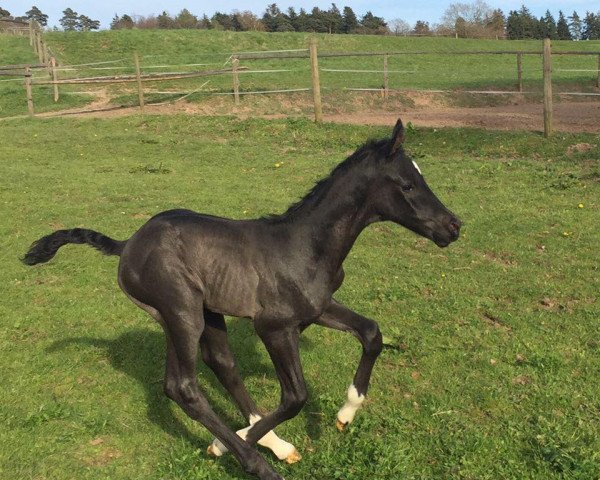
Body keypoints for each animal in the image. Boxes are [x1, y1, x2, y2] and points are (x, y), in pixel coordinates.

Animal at [23, 119, 460, 480]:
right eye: (408, 185)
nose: (453, 226)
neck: (305, 246)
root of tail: (128, 243)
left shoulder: (316, 310)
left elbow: (371, 333)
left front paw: (346, 414)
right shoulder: (274, 327)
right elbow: (296, 396)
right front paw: (224, 445)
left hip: (196, 314)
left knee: (216, 366)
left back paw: (273, 445)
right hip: (181, 312)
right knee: (184, 386)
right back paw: (255, 461)